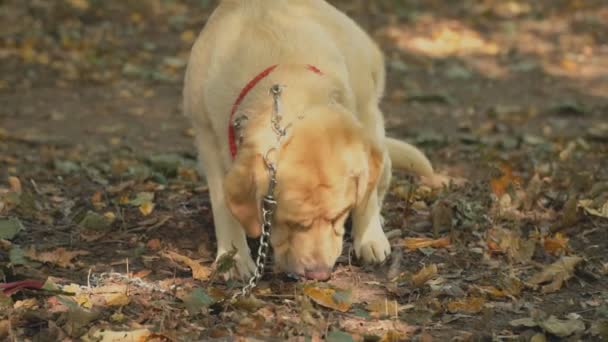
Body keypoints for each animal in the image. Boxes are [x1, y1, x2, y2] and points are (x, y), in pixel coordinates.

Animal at [180, 0, 442, 280]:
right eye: (291, 223)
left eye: (339, 215)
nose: (320, 274)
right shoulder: (208, 139)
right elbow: (223, 206)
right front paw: (234, 256)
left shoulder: (363, 116)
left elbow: (367, 195)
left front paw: (369, 237)